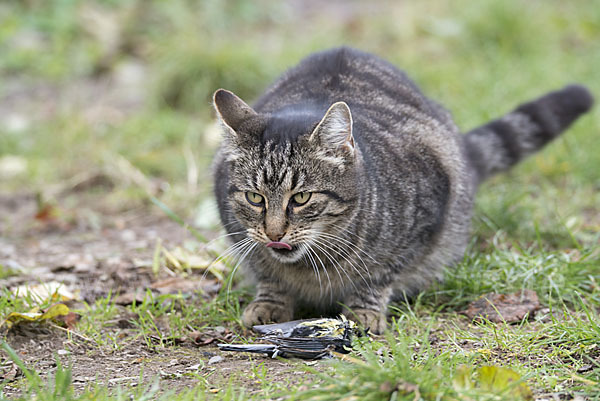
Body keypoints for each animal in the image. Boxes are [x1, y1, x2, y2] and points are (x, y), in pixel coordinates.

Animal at [210, 46, 592, 332]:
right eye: (254, 198)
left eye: (301, 198)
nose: (274, 233)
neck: (310, 266)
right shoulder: (238, 229)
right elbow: (265, 269)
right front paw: (269, 302)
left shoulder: (424, 218)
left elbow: (379, 273)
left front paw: (364, 310)